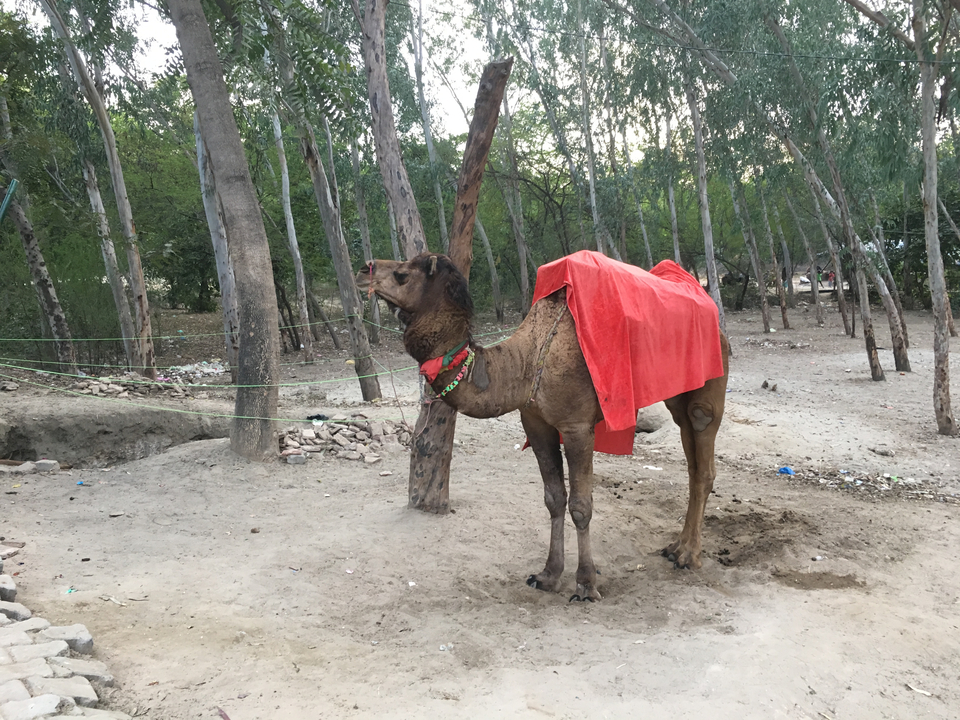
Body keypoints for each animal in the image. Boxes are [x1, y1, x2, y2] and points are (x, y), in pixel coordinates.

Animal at [357, 253, 730, 601]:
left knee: (703, 453)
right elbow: (554, 499)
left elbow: (580, 505)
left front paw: (585, 585)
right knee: (692, 459)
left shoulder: (578, 426)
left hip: (709, 386)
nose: (363, 270)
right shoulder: (536, 423)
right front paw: (548, 575)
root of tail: (718, 322)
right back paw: (675, 547)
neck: (526, 362)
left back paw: (689, 556)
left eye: (402, 274)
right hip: (678, 395)